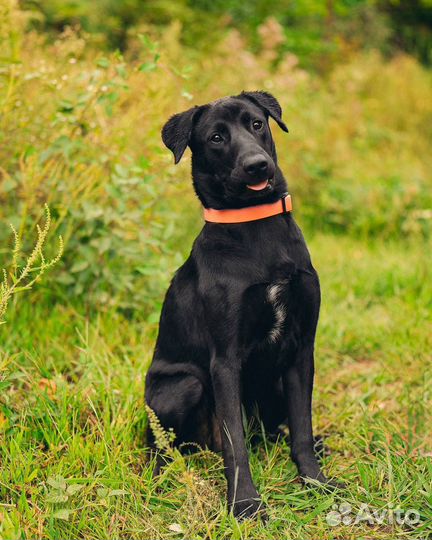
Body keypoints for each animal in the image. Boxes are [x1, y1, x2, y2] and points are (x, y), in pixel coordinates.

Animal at [145, 92, 340, 520]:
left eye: (256, 124)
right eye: (216, 137)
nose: (257, 164)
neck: (256, 227)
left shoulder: (302, 350)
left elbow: (302, 427)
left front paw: (316, 481)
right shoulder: (225, 360)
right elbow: (236, 446)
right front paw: (246, 503)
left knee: (277, 430)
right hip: (183, 386)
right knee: (164, 446)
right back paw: (163, 475)